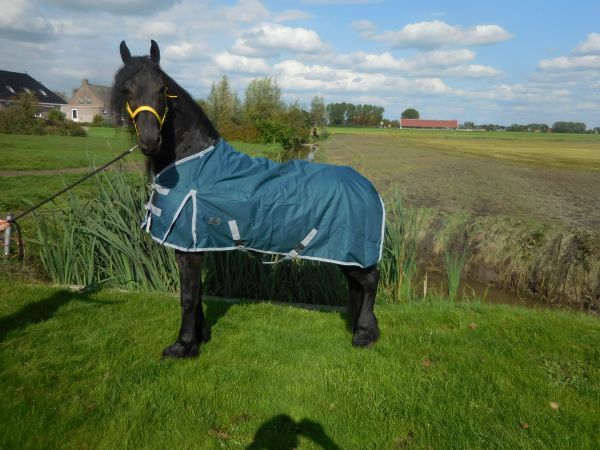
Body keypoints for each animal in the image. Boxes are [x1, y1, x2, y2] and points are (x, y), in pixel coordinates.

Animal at [112, 42, 380, 358]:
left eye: (161, 88)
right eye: (126, 90)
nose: (150, 140)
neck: (195, 162)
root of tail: (366, 184)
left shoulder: (188, 248)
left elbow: (188, 296)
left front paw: (183, 346)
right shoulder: (192, 247)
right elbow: (197, 293)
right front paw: (200, 336)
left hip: (351, 249)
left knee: (370, 282)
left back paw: (363, 334)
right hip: (345, 253)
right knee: (358, 285)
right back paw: (362, 327)